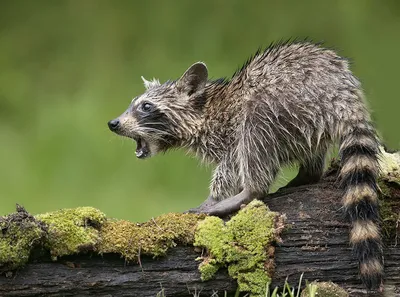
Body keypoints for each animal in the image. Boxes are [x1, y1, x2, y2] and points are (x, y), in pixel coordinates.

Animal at [108, 40, 382, 288]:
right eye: (133, 104)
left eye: (145, 106)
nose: (113, 123)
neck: (204, 110)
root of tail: (343, 97)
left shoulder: (228, 131)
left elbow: (229, 165)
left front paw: (216, 196)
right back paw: (308, 174)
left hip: (282, 103)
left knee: (255, 133)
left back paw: (250, 190)